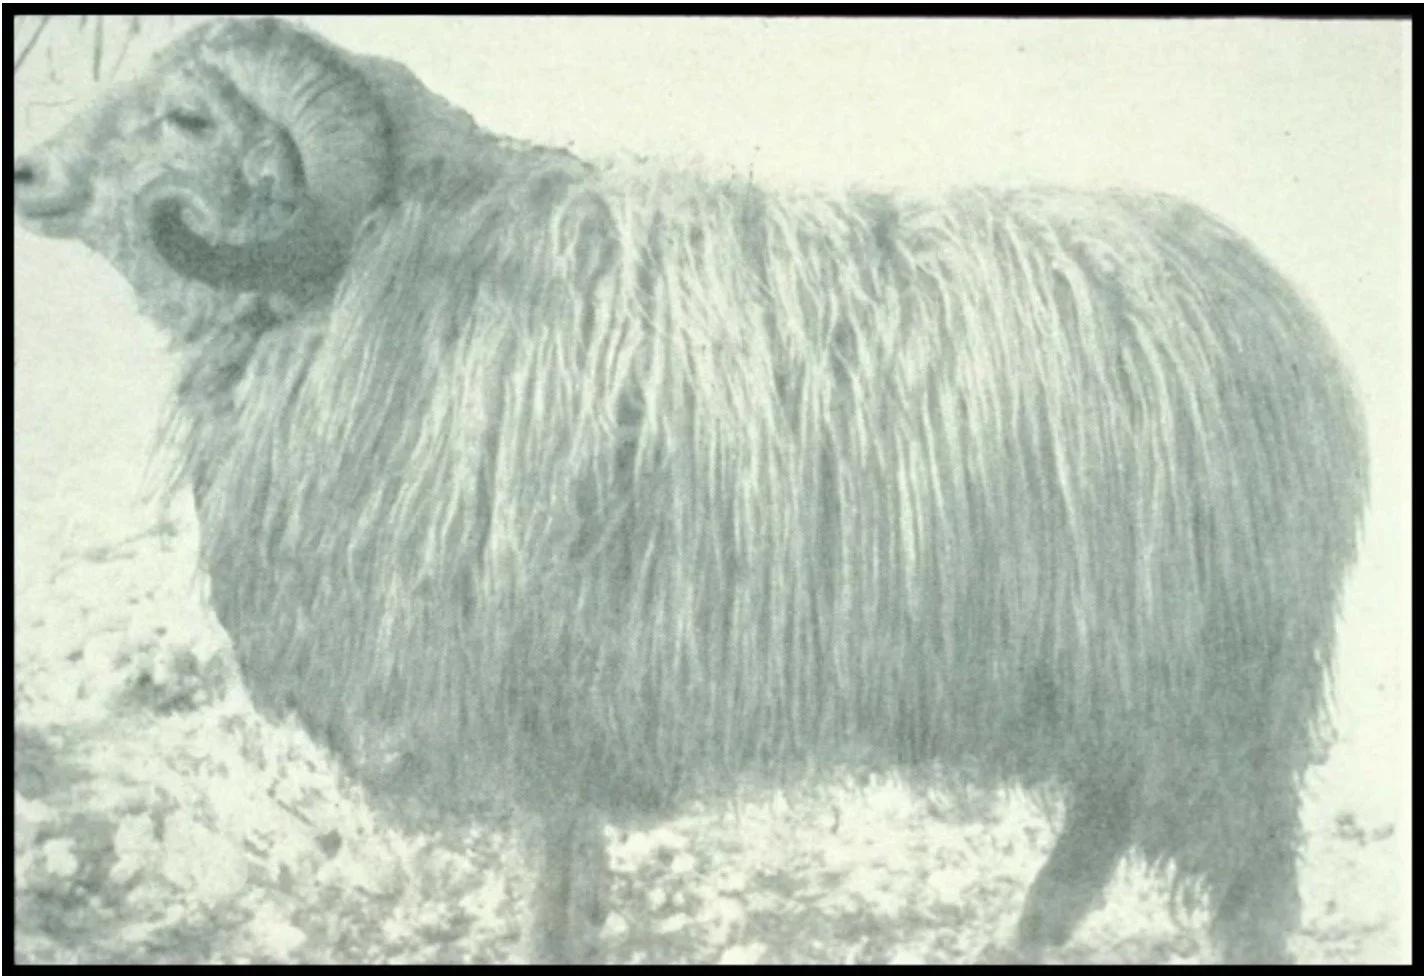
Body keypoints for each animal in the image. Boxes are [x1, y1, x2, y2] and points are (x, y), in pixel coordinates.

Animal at [13, 16, 1368, 964]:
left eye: (187, 117)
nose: (26, 173)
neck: (371, 268)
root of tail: (1279, 314)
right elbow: (575, 879)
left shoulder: (535, 690)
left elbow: (554, 882)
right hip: (1118, 684)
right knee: (1098, 835)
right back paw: (1021, 934)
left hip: (1207, 682)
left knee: (1247, 883)